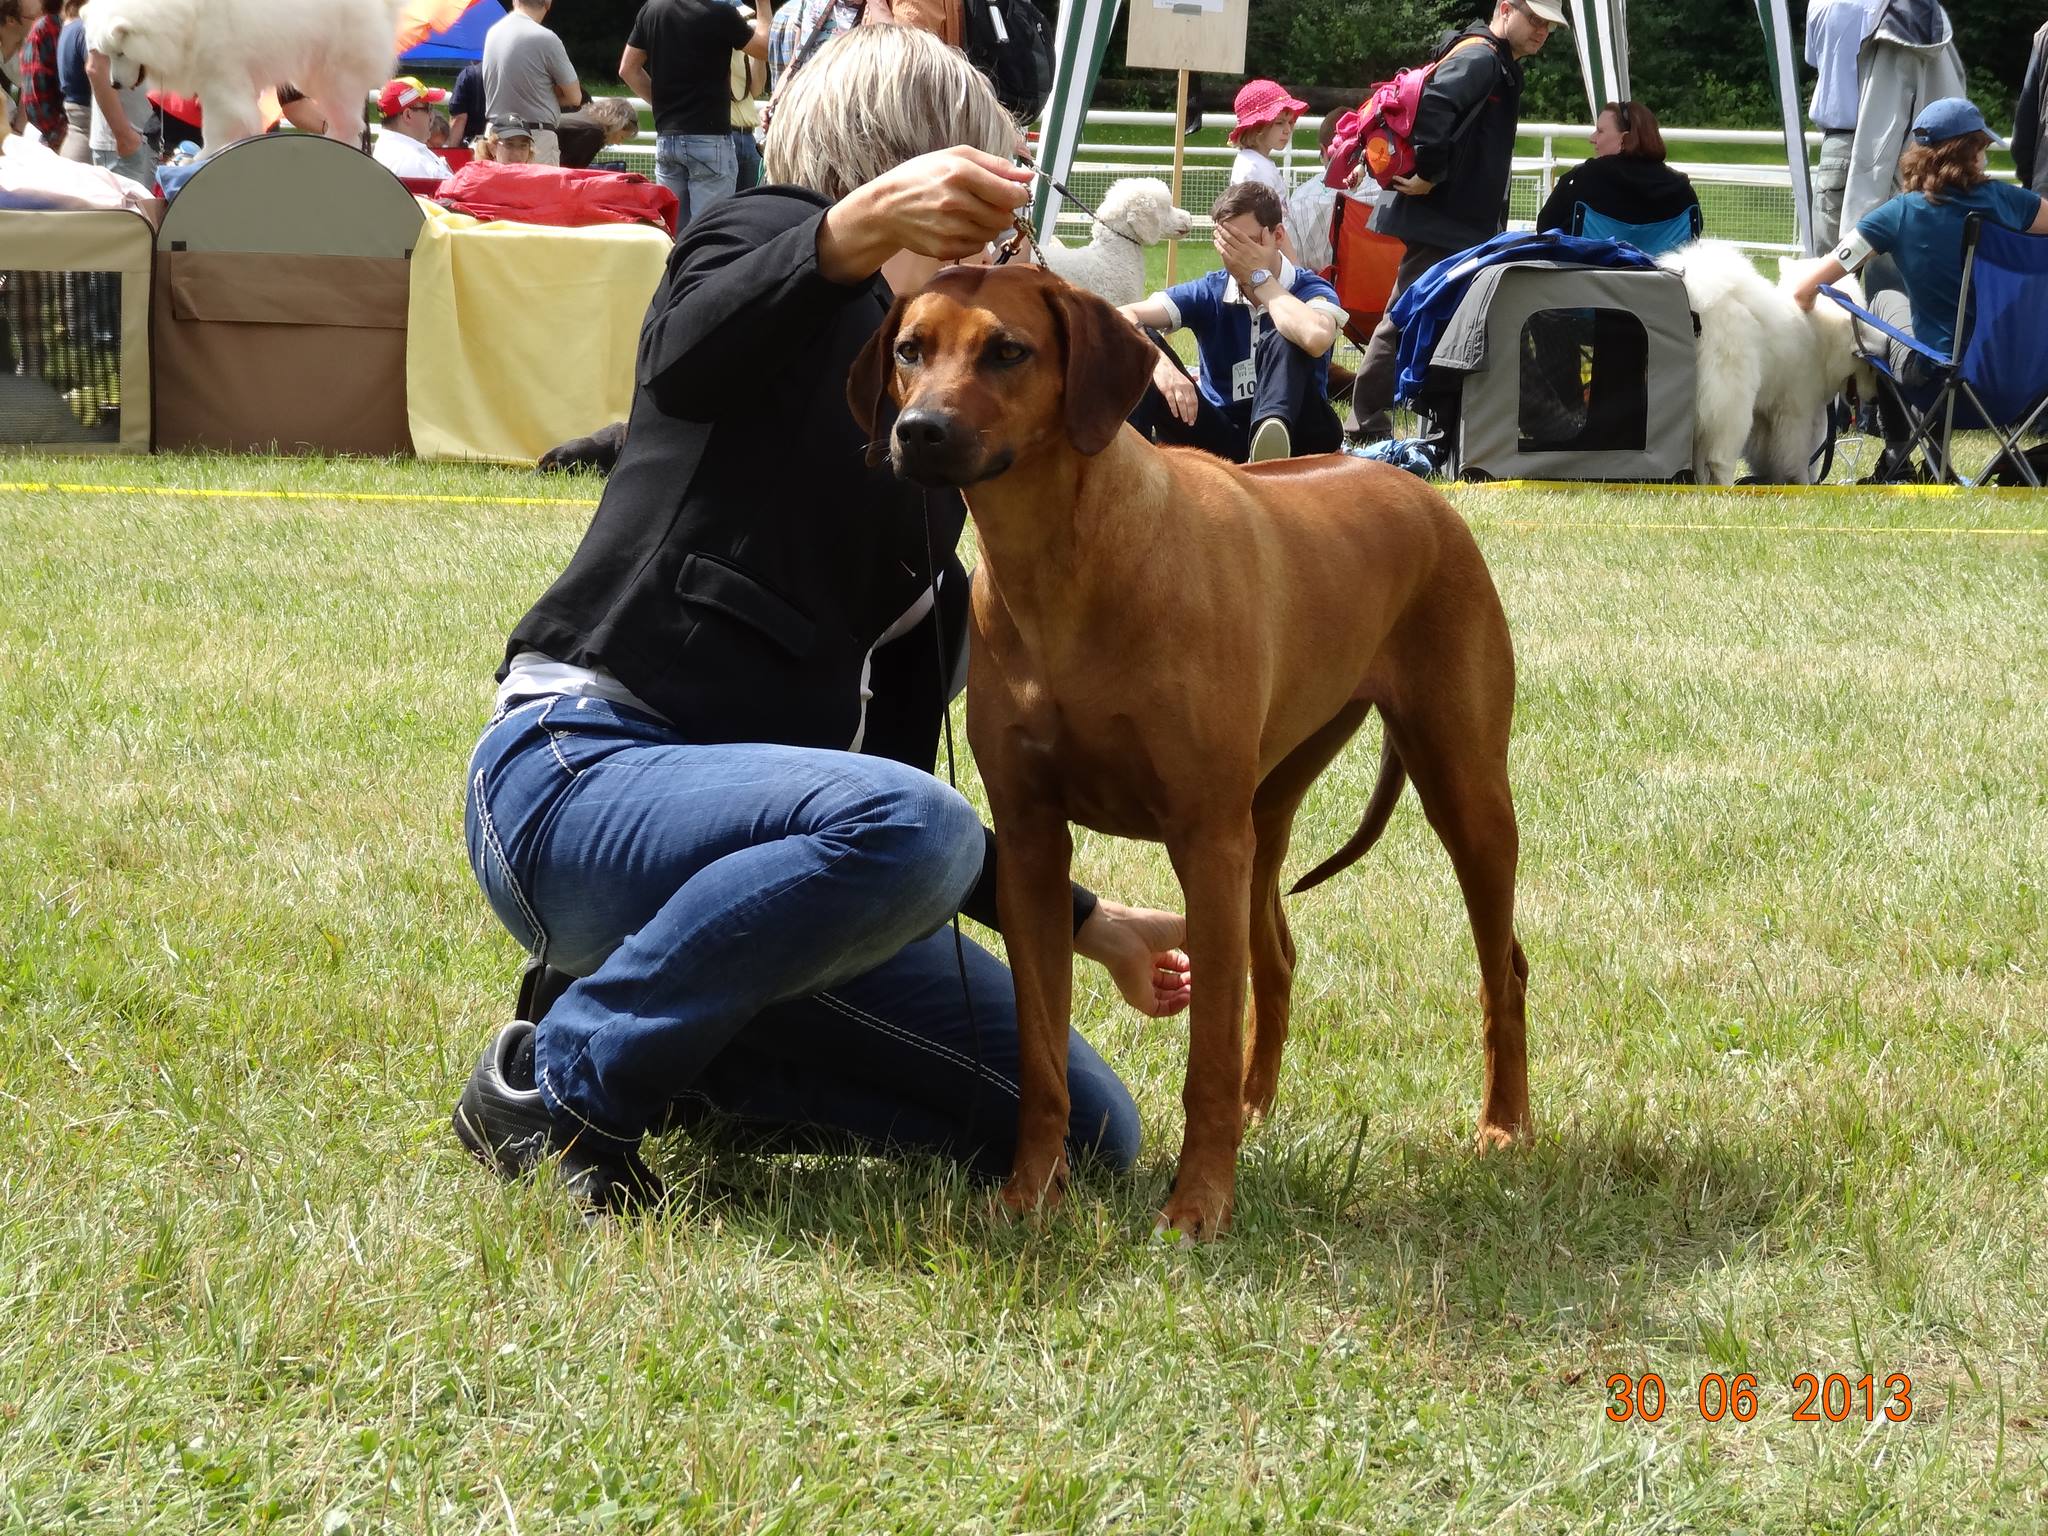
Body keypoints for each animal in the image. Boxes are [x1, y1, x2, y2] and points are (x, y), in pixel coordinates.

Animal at [83, 0, 407, 156]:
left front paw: (203, 156)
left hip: (336, 70)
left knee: (349, 122)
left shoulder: (222, 76)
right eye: (107, 54)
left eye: (121, 52)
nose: (113, 84)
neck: (184, 18)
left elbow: (220, 124)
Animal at [839, 264, 1531, 1245]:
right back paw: (1258, 1109)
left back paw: (1503, 1126)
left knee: (1501, 966)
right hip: (1268, 807)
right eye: (909, 350)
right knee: (1276, 954)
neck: (1062, 564)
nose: (919, 431)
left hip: (1458, 785)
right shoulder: (1031, 842)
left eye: (1008, 351)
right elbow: (1041, 1058)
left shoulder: (1203, 837)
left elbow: (1204, 1050)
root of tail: (1421, 490)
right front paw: (1031, 1196)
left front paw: (1199, 1205)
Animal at [1654, 240, 1875, 487]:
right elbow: (1800, 455)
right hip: (1734, 405)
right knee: (1719, 459)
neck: (1820, 329)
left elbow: (1773, 454)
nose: (1875, 397)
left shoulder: (1768, 415)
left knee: (1699, 459)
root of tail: (1700, 308)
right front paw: (1803, 483)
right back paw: (1728, 488)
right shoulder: (1798, 411)